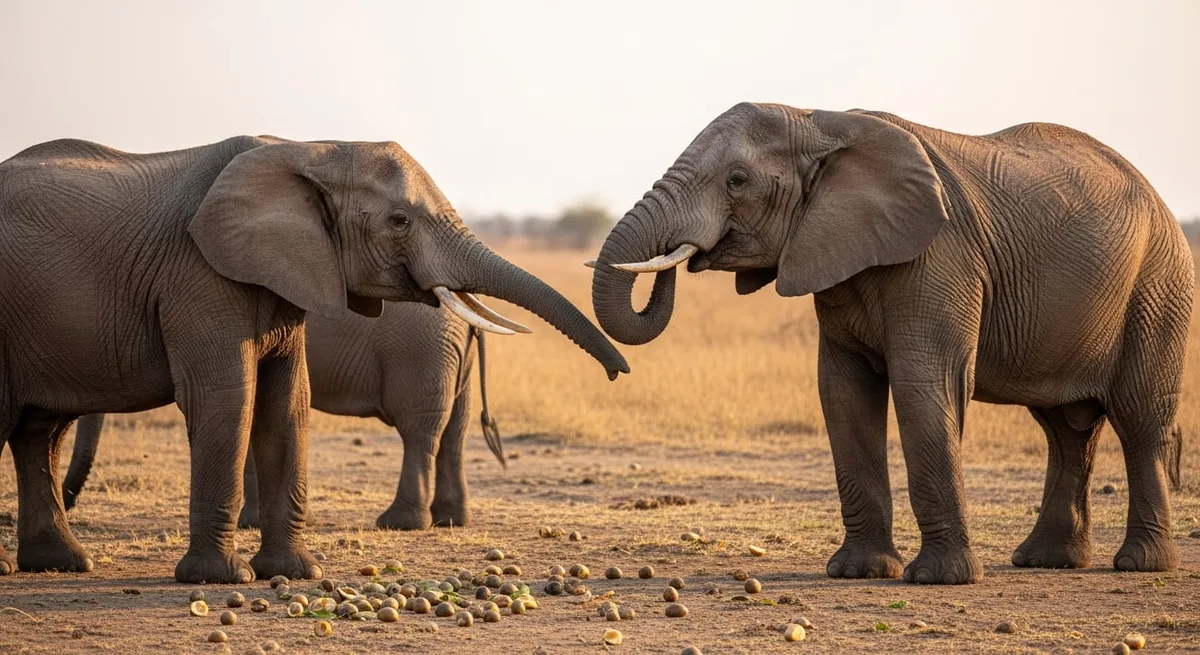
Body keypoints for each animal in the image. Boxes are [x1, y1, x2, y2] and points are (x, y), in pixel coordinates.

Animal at [61, 306, 506, 531]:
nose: (68, 506)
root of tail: (470, 317)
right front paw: (254, 523)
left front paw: (250, 525)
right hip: (449, 356)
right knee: (454, 431)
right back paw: (450, 520)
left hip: (419, 351)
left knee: (419, 431)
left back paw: (399, 524)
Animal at [589, 103, 1191, 584]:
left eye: (736, 180)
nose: (681, 257)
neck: (819, 122)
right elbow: (843, 394)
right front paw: (857, 572)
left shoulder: (941, 256)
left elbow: (924, 386)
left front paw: (941, 580)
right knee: (1067, 429)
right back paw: (1048, 561)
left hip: (1159, 284)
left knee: (1139, 420)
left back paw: (1141, 565)